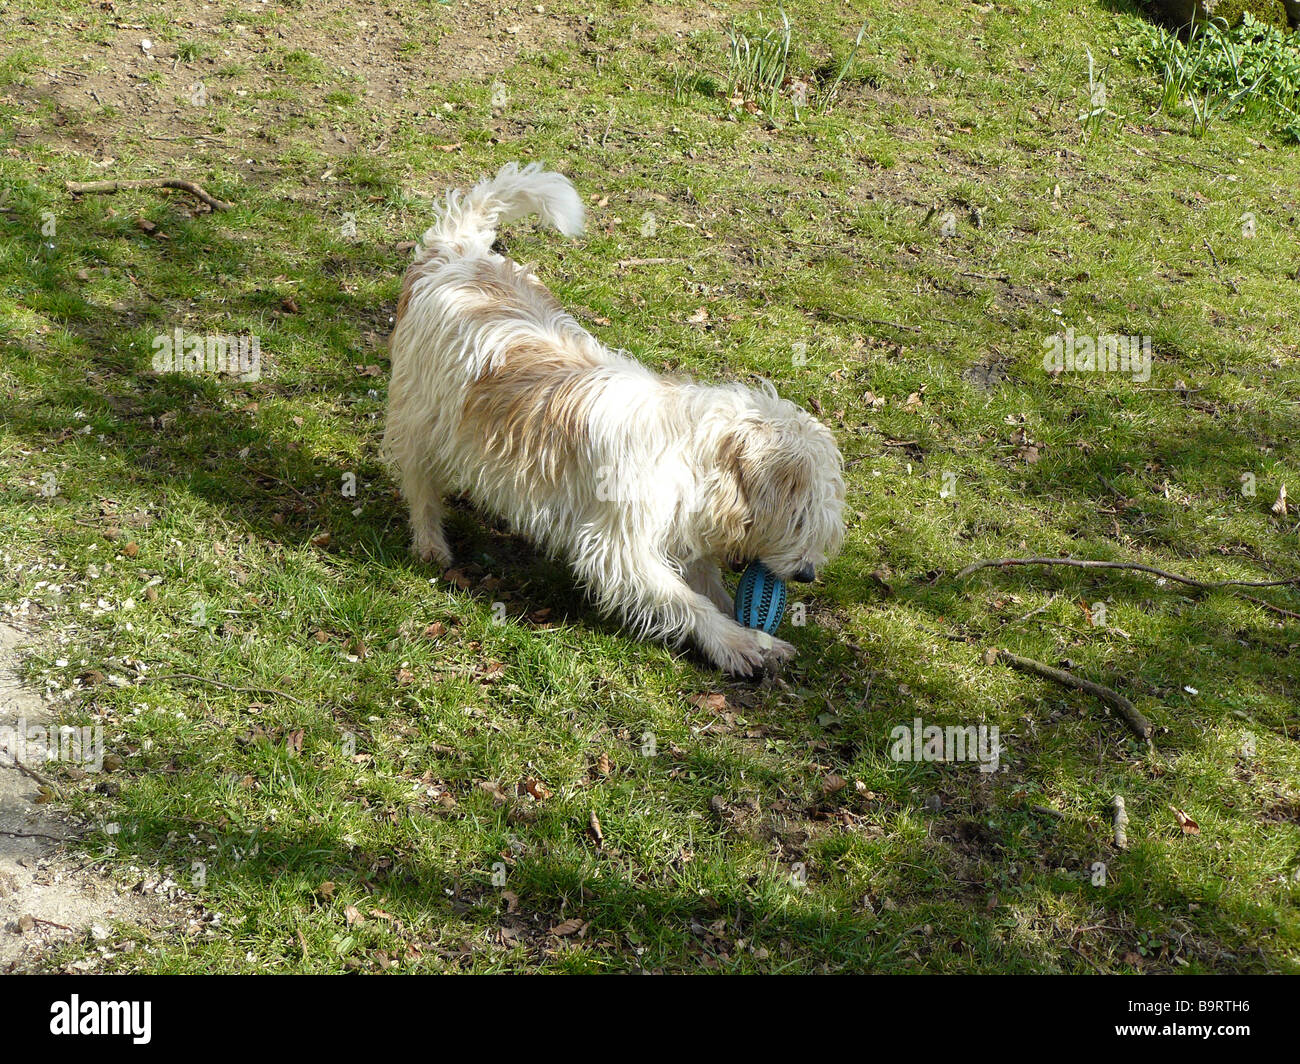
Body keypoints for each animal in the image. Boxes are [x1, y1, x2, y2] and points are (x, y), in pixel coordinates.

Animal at [379, 161, 847, 676]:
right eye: (800, 517)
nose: (807, 574)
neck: (697, 458)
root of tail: (455, 251)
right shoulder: (620, 548)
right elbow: (687, 600)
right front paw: (735, 642)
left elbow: (707, 584)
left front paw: (750, 629)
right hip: (421, 415)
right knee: (419, 482)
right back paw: (430, 543)